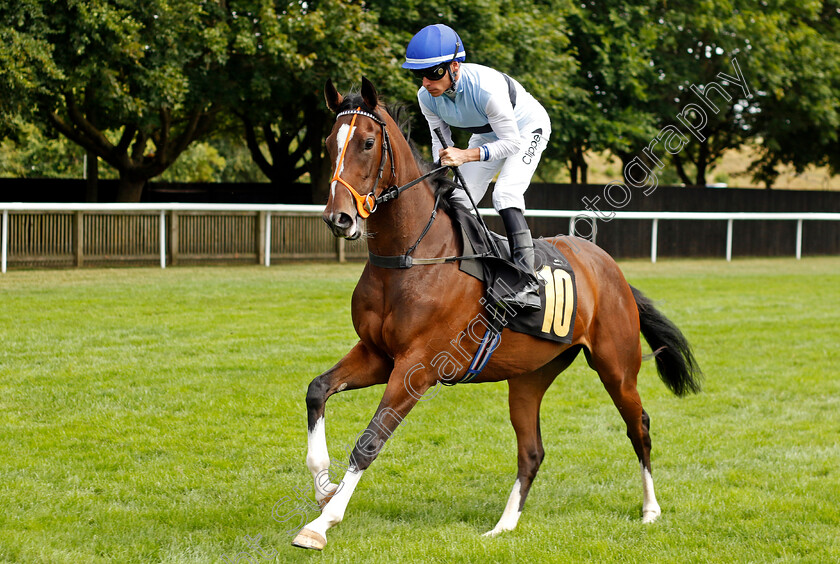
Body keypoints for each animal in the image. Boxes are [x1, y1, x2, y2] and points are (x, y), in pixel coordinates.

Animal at [292, 77, 700, 548]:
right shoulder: (378, 354)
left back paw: (650, 509)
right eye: (328, 143)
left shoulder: (418, 366)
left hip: (616, 366)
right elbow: (317, 390)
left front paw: (321, 524)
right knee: (532, 450)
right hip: (529, 376)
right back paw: (504, 524)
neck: (412, 256)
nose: (338, 218)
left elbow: (370, 440)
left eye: (368, 142)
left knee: (640, 426)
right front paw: (324, 487)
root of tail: (608, 267)